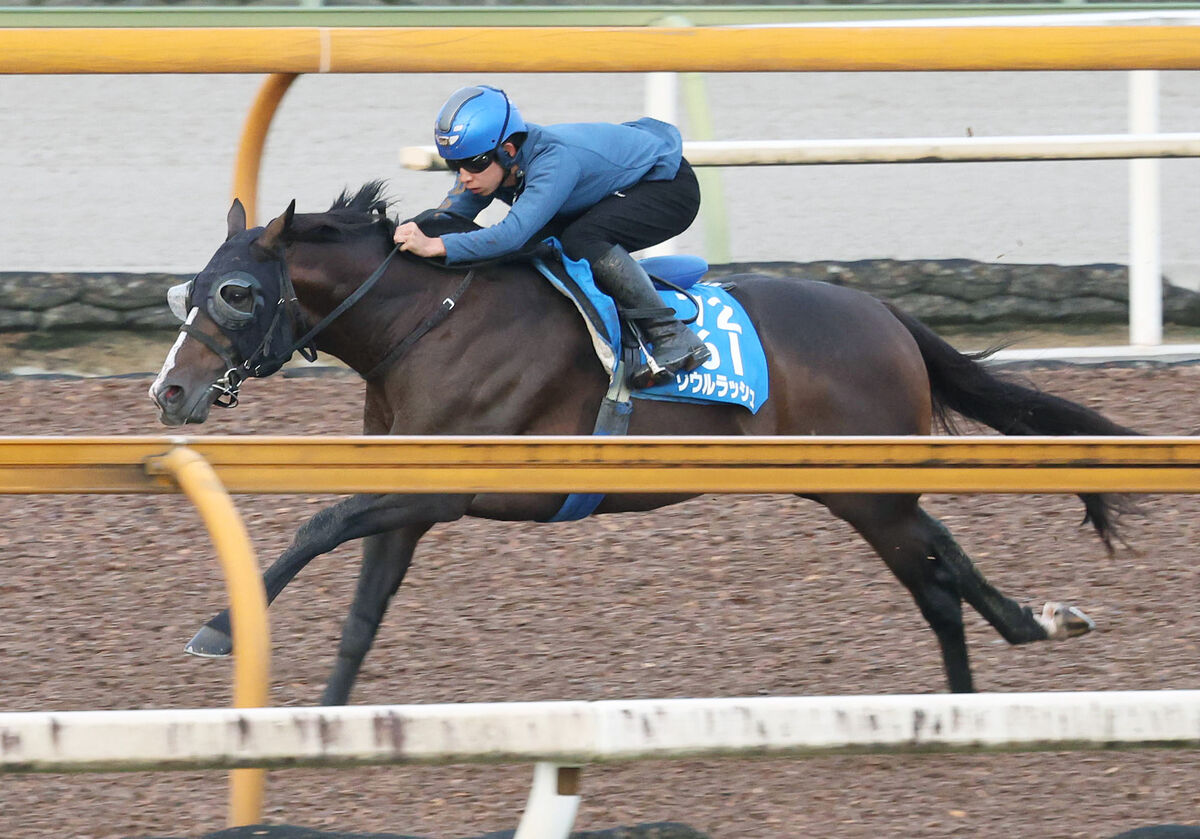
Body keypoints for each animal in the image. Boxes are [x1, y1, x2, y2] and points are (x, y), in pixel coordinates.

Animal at [150, 180, 1132, 705]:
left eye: (237, 291)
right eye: (184, 290)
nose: (170, 391)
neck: (432, 318)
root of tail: (886, 313)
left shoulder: (443, 485)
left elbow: (317, 524)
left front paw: (217, 627)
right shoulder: (410, 498)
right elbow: (360, 615)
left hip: (866, 485)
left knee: (939, 562)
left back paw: (1026, 639)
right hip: (859, 489)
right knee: (936, 573)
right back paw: (983, 685)